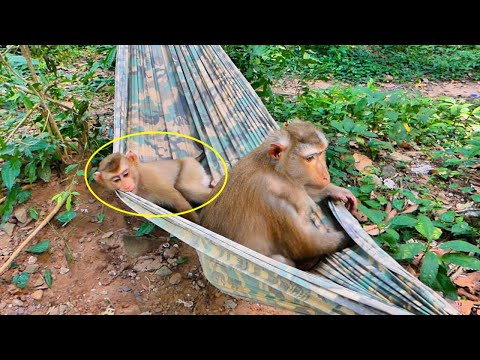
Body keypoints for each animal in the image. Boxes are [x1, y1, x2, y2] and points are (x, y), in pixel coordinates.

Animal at [201, 120, 358, 268]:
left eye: (321, 153)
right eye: (310, 158)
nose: (326, 177)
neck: (277, 172)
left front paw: (337, 191)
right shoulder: (273, 202)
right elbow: (307, 244)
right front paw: (348, 237)